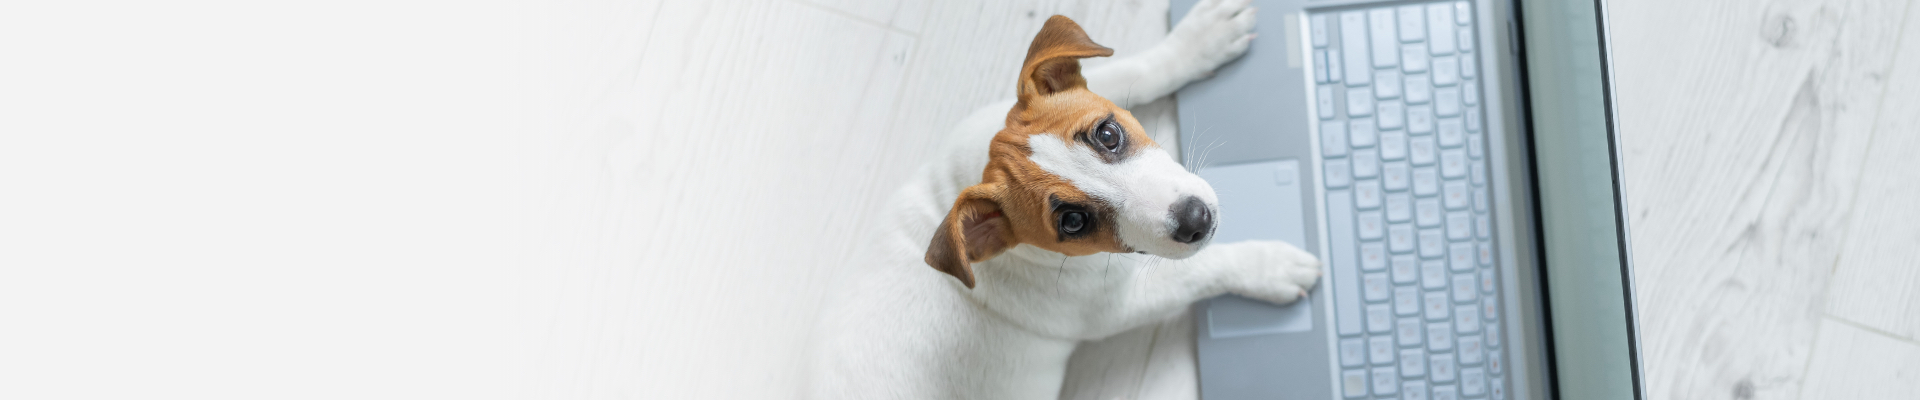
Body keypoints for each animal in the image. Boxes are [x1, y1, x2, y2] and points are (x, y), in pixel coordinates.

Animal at [806, 1, 1320, 398]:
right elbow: (1202, 270)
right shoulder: (1111, 306)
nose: (1197, 218)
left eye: (1108, 134)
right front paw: (1270, 267)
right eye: (1073, 223)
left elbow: (1132, 68)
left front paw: (1199, 40)